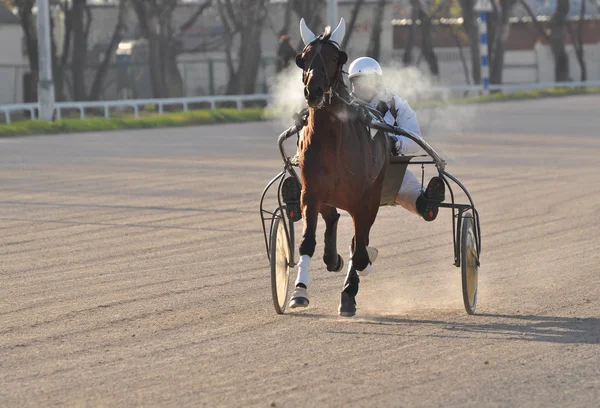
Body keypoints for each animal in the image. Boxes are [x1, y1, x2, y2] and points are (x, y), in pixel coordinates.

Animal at [290, 17, 392, 318]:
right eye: (303, 58)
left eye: (336, 57)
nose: (314, 91)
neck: (331, 141)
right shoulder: (311, 192)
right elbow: (307, 242)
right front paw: (299, 292)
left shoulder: (362, 198)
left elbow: (359, 250)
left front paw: (362, 268)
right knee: (332, 217)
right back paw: (333, 258)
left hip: (374, 191)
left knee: (359, 239)